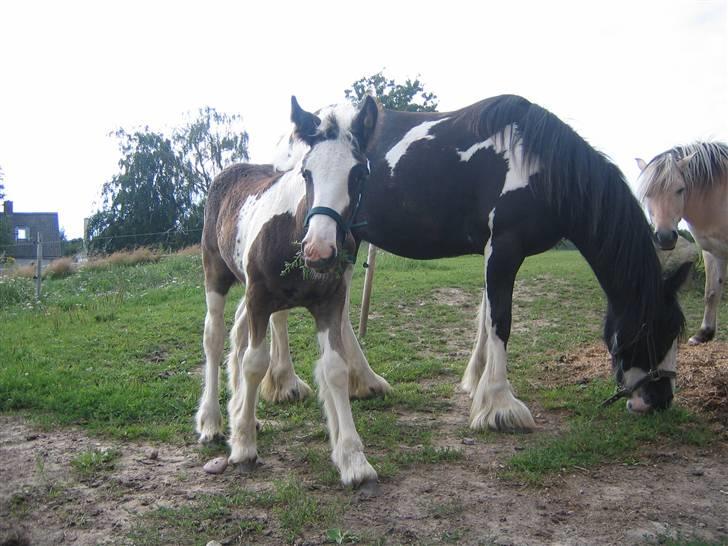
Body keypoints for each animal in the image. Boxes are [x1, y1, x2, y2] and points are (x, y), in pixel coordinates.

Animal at [636, 141, 728, 344]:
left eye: (680, 189)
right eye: (648, 193)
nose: (665, 237)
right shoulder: (712, 250)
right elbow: (711, 292)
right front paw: (704, 333)